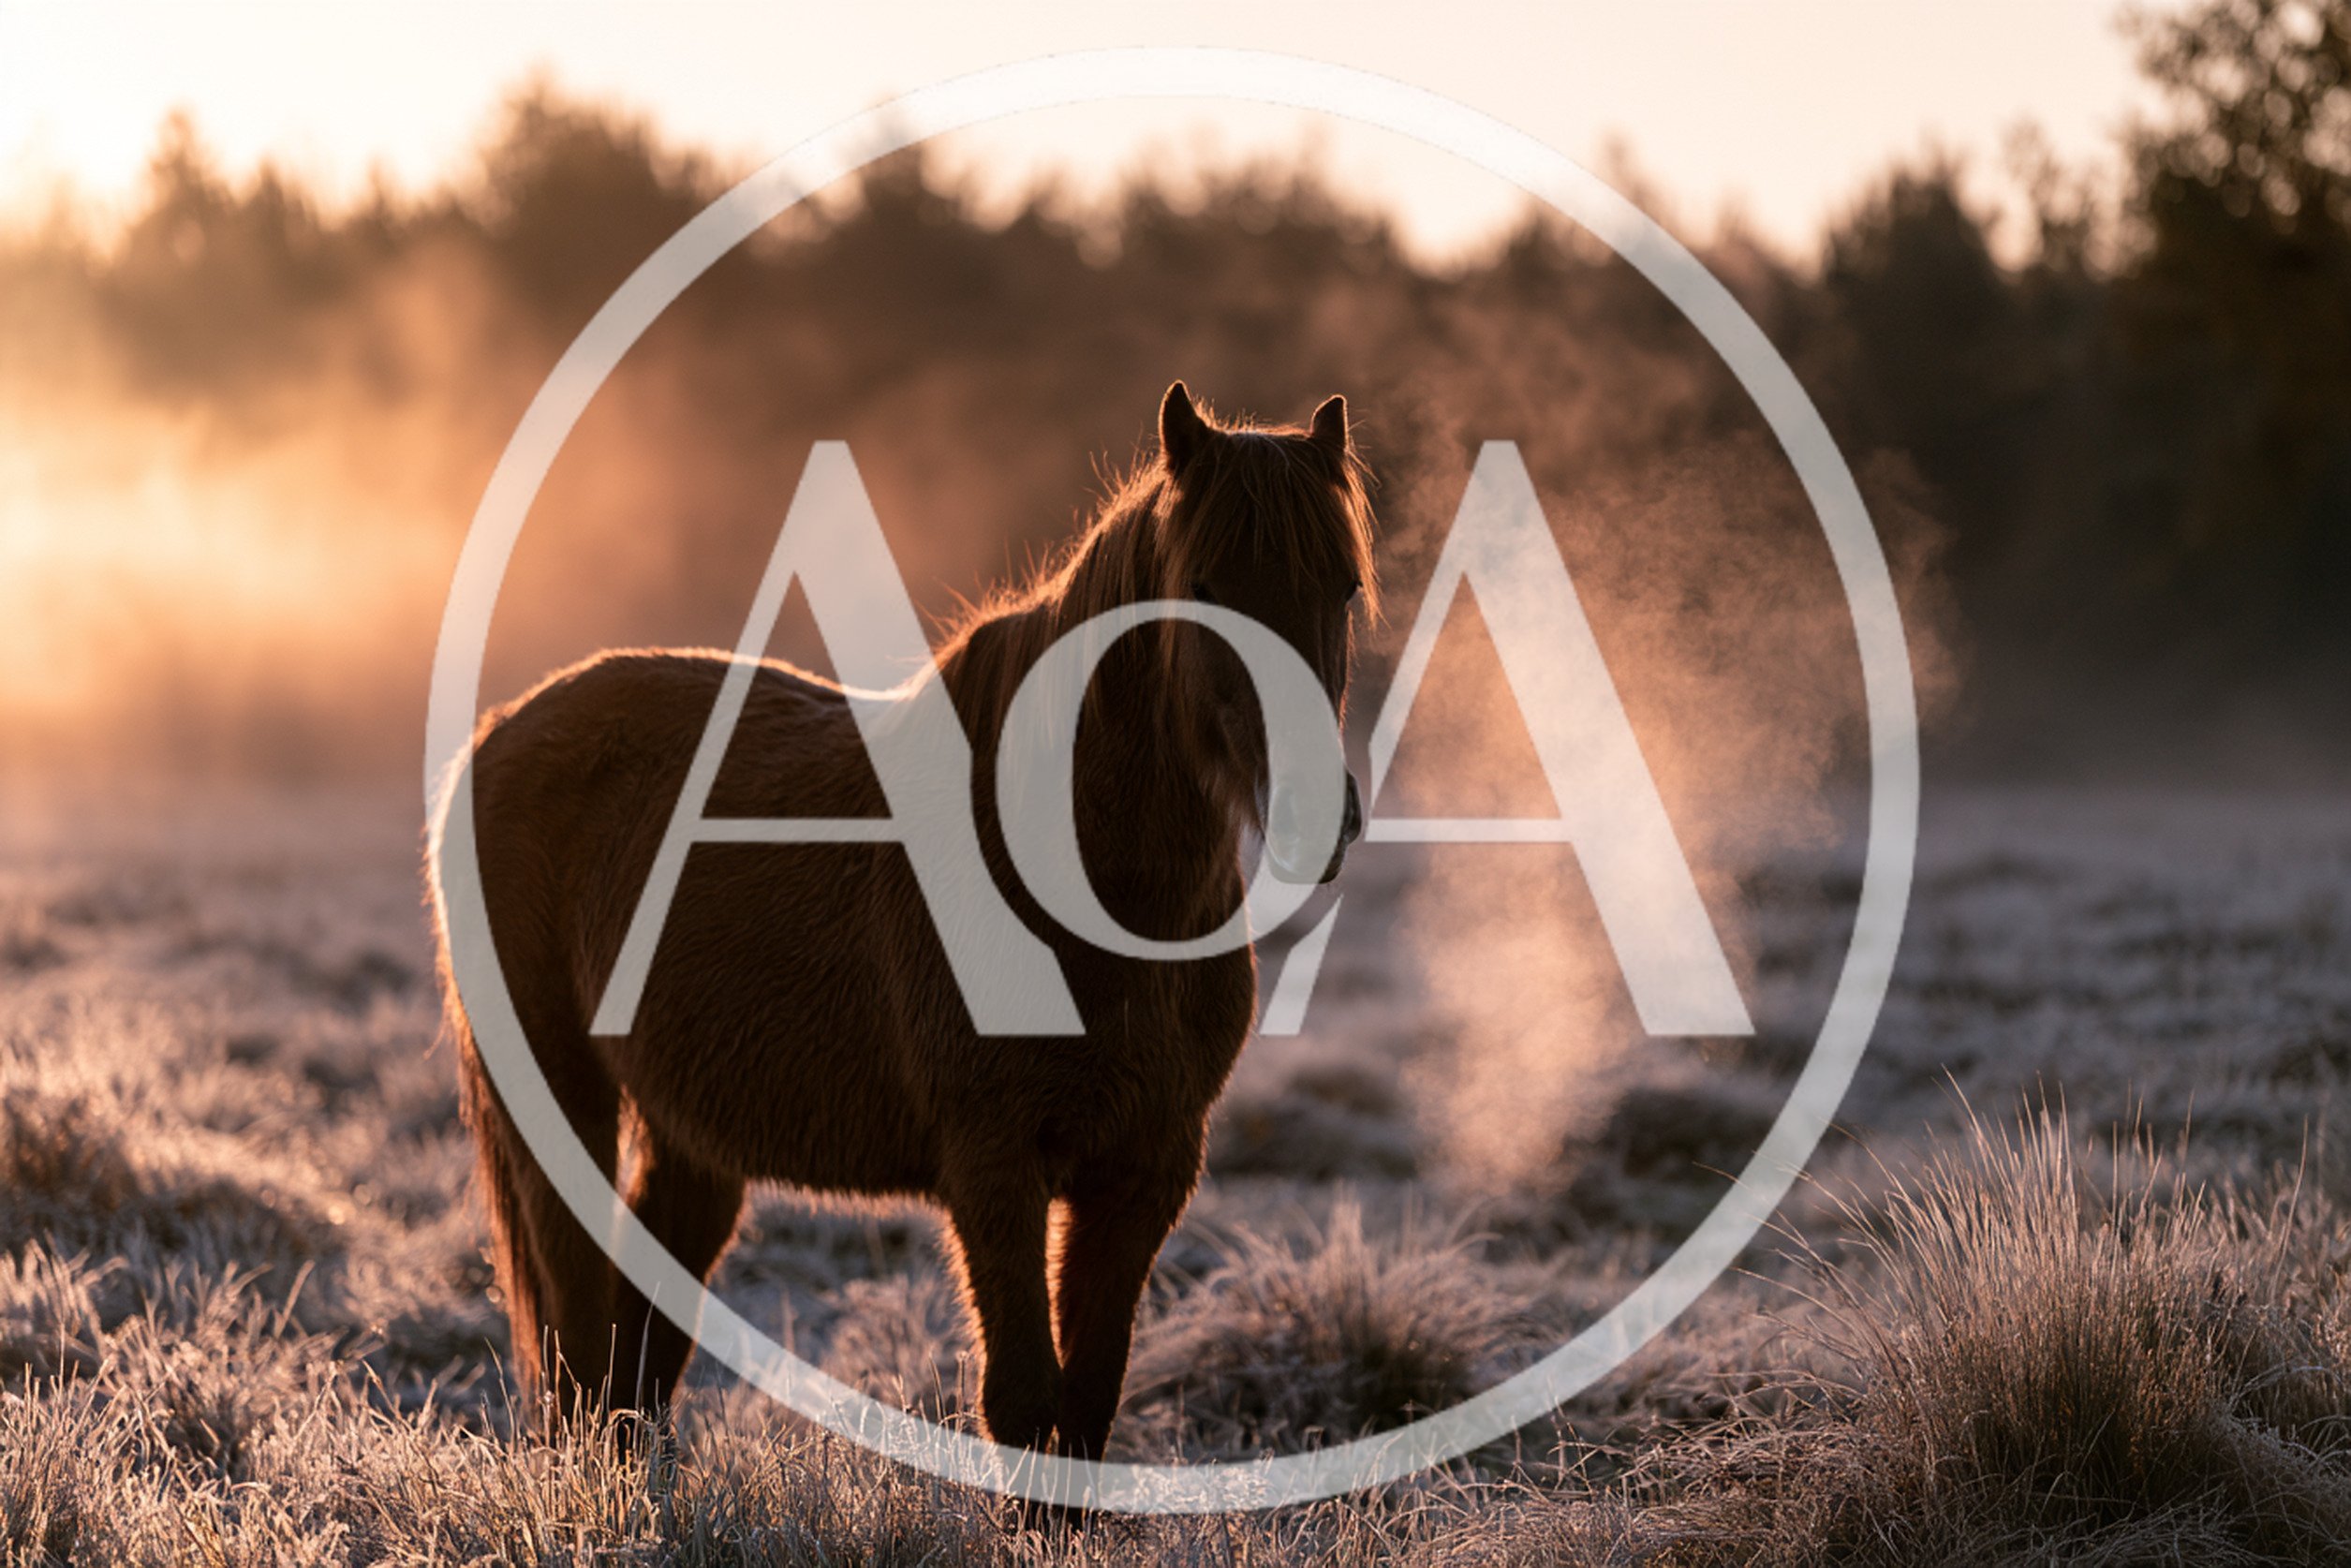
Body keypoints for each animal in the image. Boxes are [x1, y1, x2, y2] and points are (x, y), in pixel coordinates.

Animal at [428, 382, 1377, 1458]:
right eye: (1205, 587)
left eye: (1343, 588)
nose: (1318, 816)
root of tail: (496, 736)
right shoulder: (994, 1166)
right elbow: (1024, 1404)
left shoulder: (1142, 1172)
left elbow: (1088, 1405)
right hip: (559, 1099)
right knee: (583, 1340)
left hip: (690, 1133)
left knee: (637, 1351)